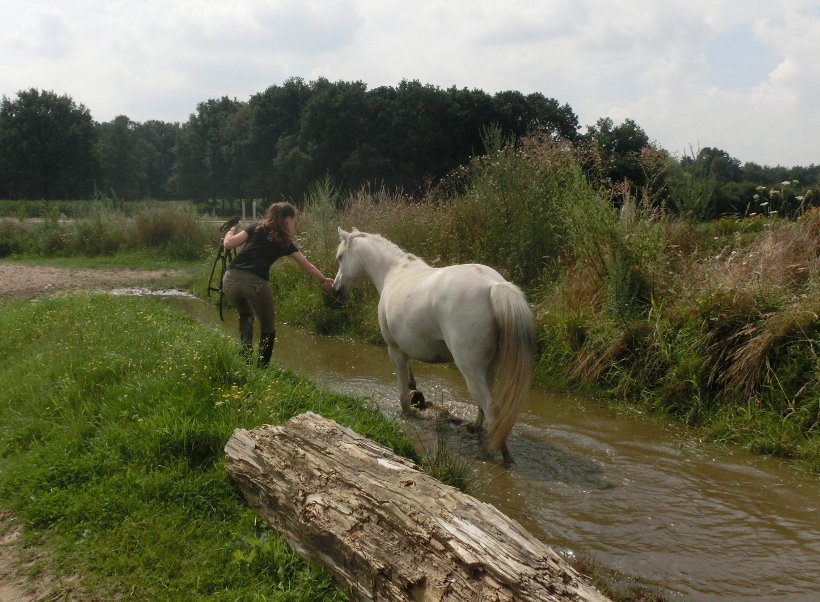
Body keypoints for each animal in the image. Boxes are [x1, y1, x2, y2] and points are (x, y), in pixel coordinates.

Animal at [331, 228, 535, 463]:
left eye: (340, 257)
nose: (335, 291)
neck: (395, 272)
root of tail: (493, 286)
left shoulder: (394, 349)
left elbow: (402, 391)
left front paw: (408, 411)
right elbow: (409, 378)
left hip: (471, 371)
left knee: (491, 409)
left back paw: (500, 456)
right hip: (490, 368)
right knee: (485, 407)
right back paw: (474, 429)